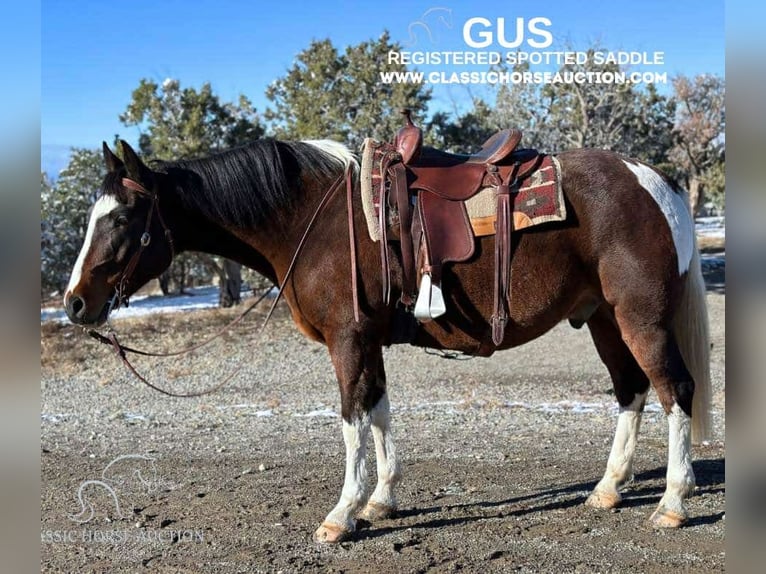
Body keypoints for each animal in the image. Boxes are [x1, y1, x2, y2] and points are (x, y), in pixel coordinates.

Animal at [63, 136, 712, 544]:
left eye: (120, 219)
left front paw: (341, 515)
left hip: (641, 318)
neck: (310, 219)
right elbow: (377, 410)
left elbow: (351, 417)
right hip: (604, 320)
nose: (74, 304)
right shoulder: (368, 341)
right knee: (630, 391)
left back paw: (672, 503)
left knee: (674, 390)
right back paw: (607, 490)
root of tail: (655, 182)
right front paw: (381, 500)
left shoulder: (347, 339)